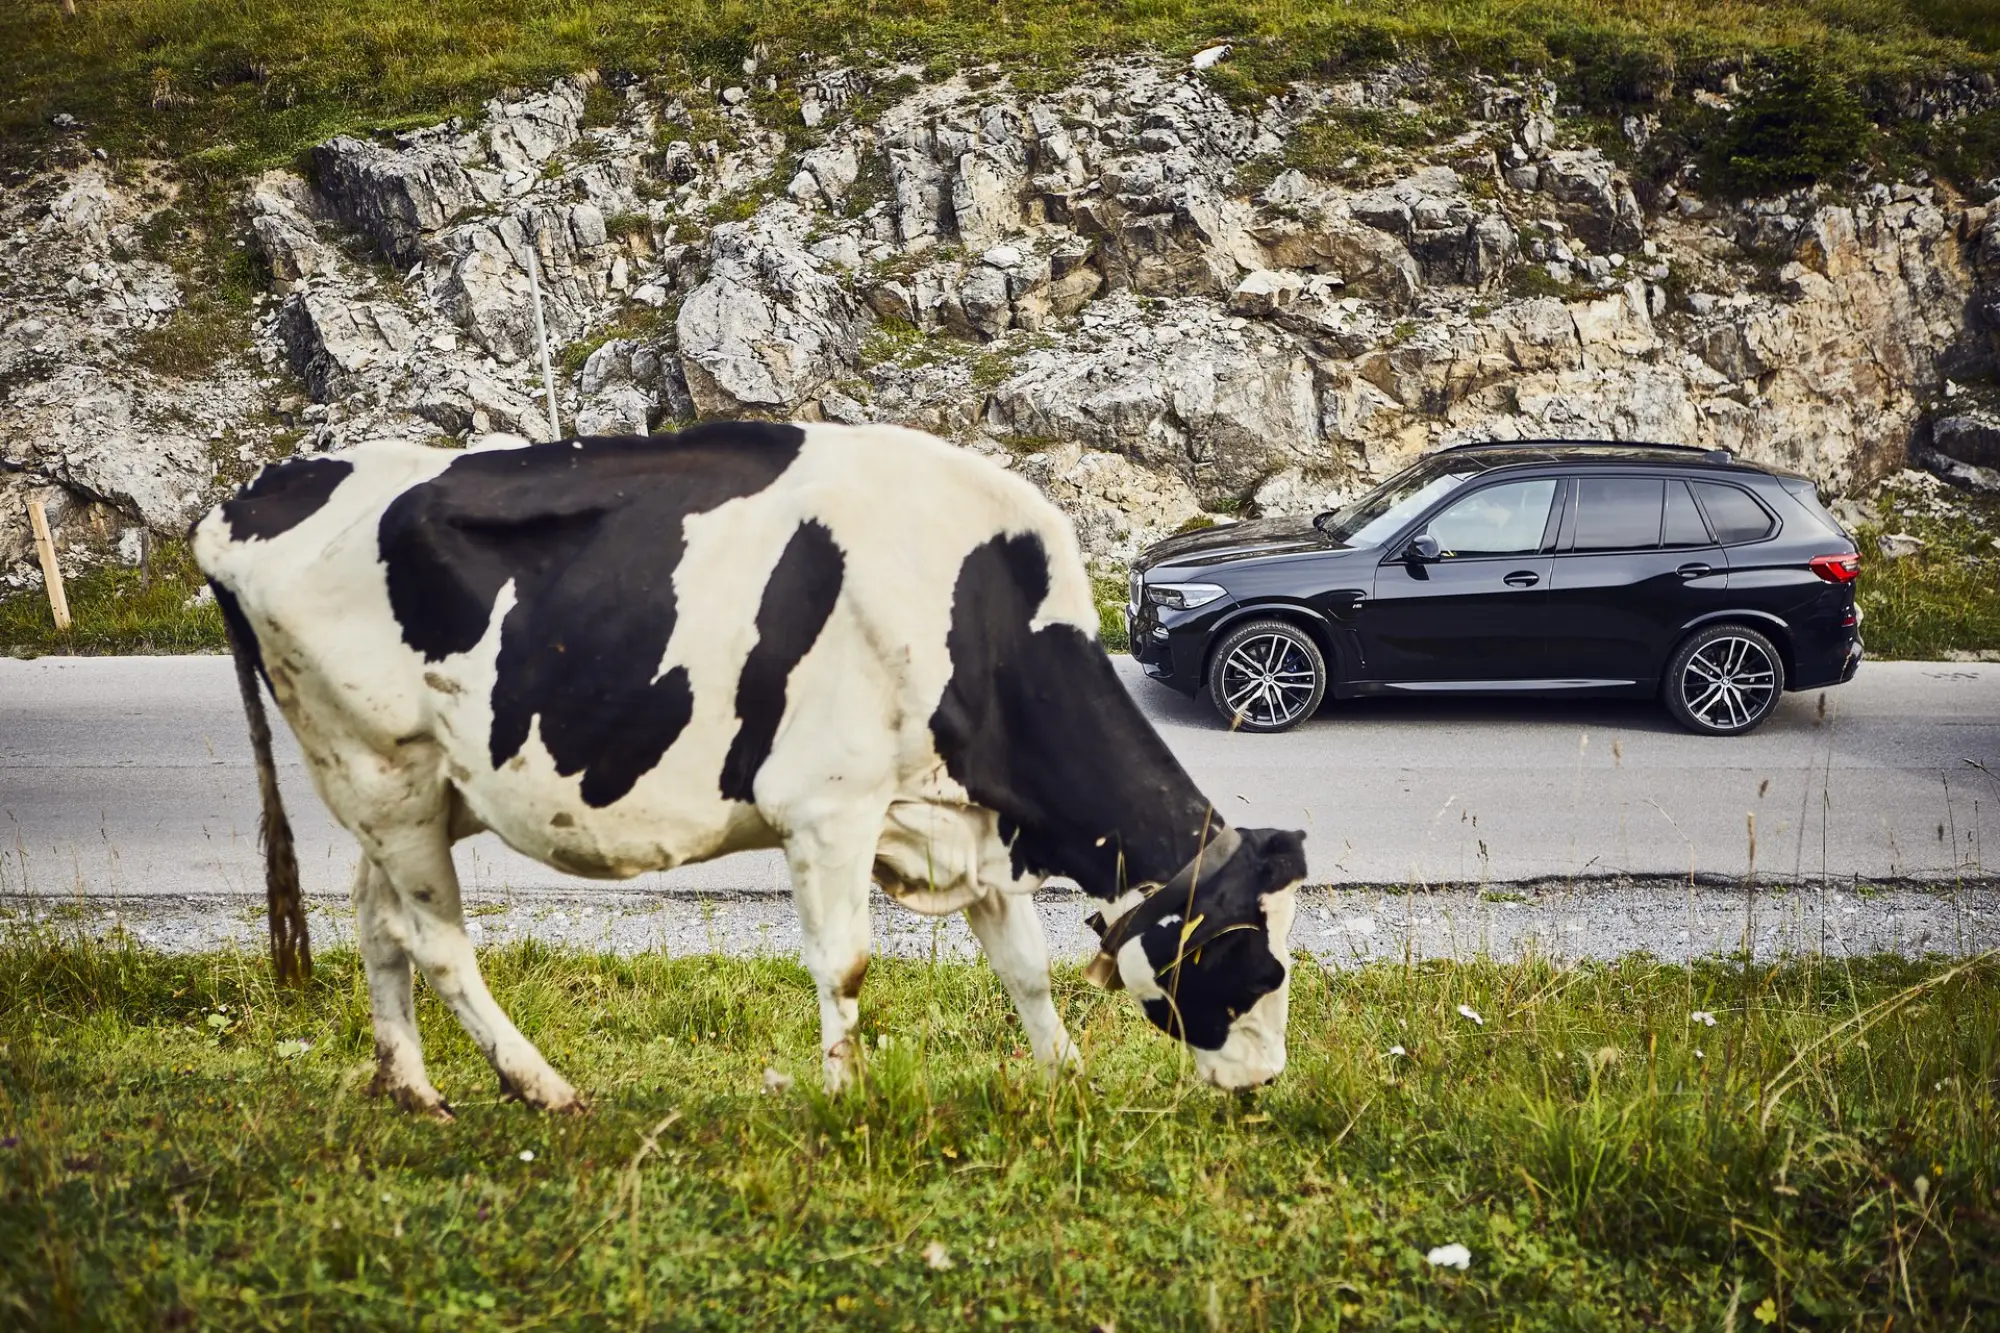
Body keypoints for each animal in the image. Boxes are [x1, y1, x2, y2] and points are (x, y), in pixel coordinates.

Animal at [191, 422, 1312, 1112]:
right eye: (1260, 961)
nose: (1265, 1079)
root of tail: (253, 494)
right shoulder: (830, 807)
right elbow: (846, 965)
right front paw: (847, 1099)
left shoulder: (970, 818)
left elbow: (1024, 966)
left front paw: (1067, 1079)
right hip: (379, 770)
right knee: (436, 943)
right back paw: (541, 1086)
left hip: (404, 786)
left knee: (374, 922)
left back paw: (413, 1089)